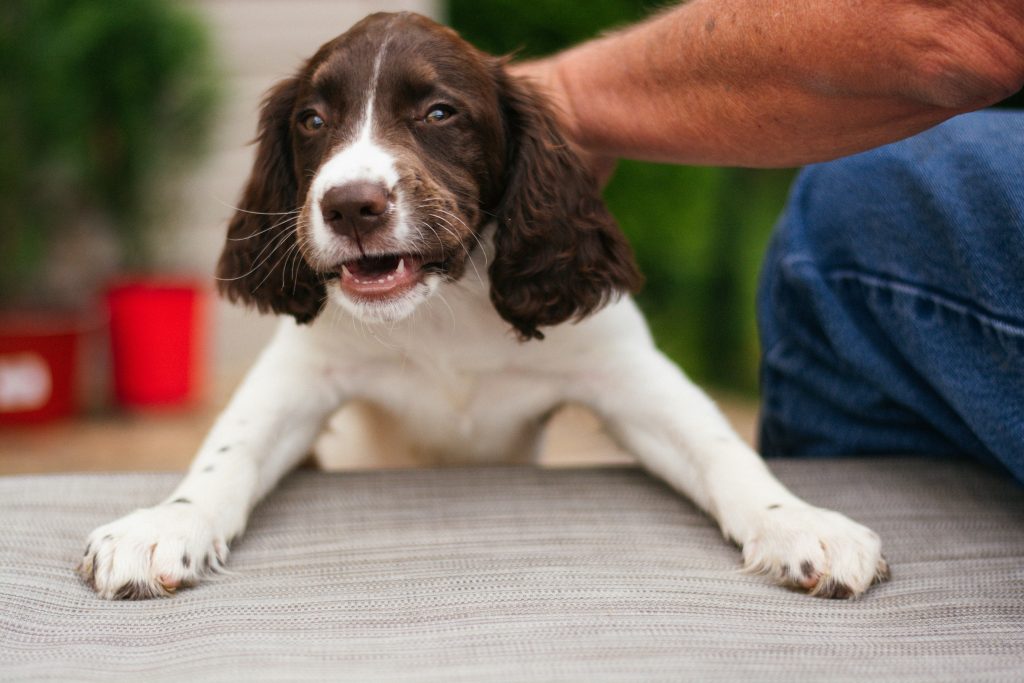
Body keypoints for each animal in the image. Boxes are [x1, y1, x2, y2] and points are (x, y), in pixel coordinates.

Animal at [77, 9, 888, 598]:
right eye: (311, 121)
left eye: (440, 113)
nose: (350, 206)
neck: (444, 303)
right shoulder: (302, 372)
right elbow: (227, 452)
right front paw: (161, 527)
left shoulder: (625, 371)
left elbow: (720, 447)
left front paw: (800, 523)